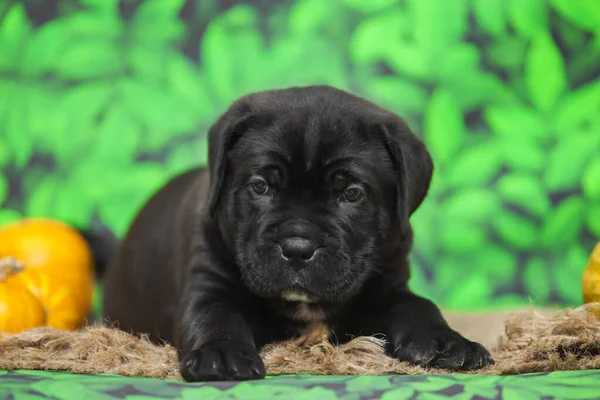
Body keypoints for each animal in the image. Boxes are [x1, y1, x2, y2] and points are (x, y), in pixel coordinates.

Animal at [103, 85, 494, 382]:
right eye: (260, 187)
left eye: (351, 194)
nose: (297, 247)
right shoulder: (208, 284)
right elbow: (213, 315)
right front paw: (221, 353)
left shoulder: (385, 290)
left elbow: (419, 305)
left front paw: (447, 343)